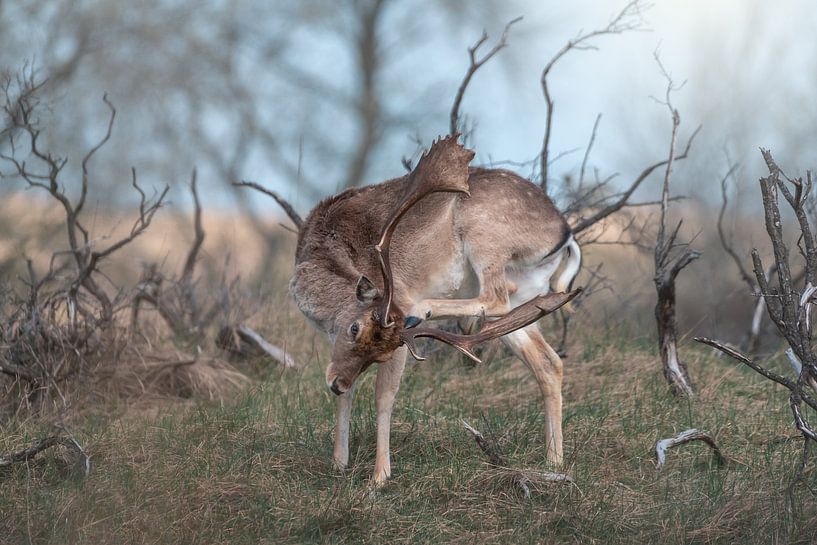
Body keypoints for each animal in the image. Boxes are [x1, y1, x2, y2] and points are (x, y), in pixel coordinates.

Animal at [286, 134, 580, 482]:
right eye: (353, 329)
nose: (334, 384)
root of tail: (566, 234)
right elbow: (350, 395)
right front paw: (339, 463)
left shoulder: (398, 336)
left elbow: (384, 396)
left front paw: (379, 477)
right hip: (525, 302)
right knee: (548, 361)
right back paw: (554, 461)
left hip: (484, 235)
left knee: (494, 294)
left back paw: (422, 310)